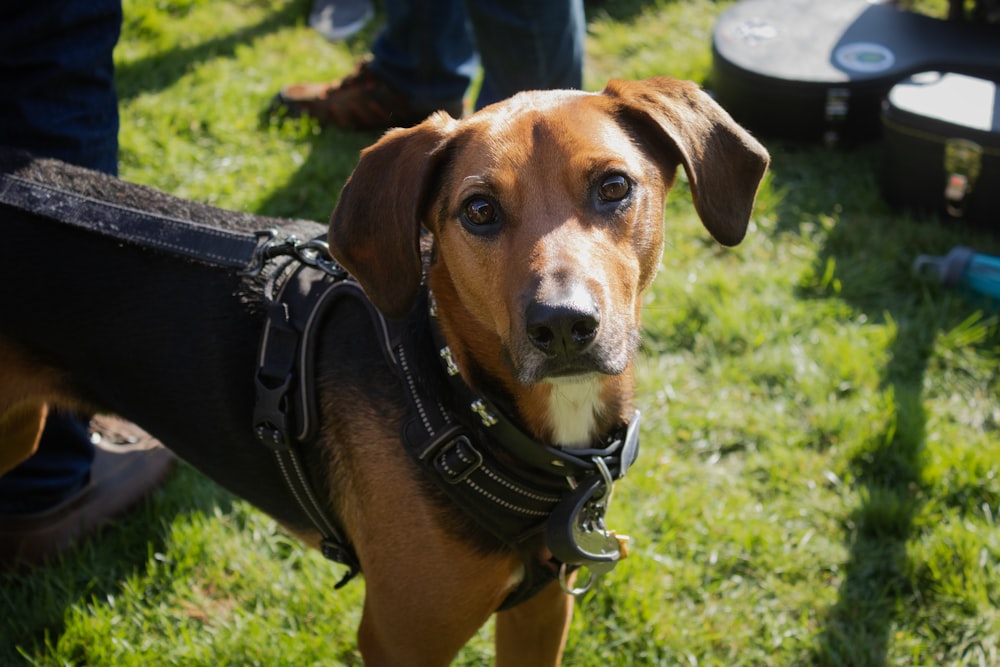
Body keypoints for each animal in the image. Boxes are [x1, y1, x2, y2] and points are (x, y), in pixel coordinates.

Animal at [0, 78, 768, 667]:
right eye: (478, 210)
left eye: (614, 186)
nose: (562, 326)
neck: (461, 409)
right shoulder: (402, 638)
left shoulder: (541, 611)